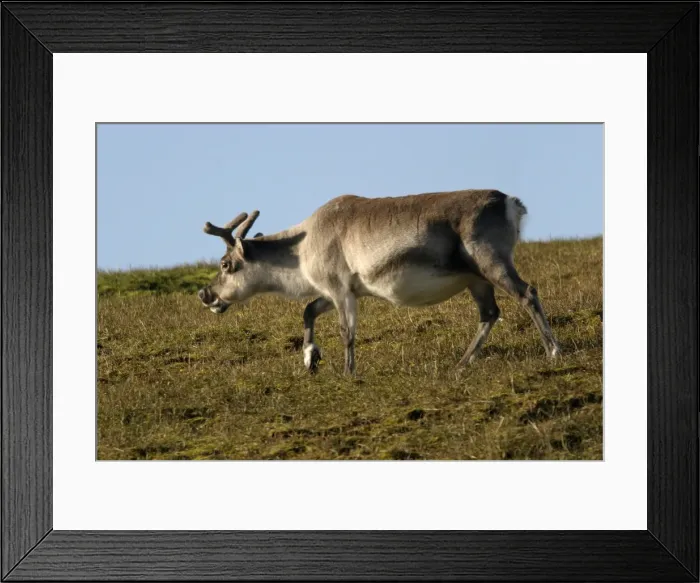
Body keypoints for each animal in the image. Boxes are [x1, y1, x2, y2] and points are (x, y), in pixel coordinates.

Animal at [197, 189, 561, 375]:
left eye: (225, 264)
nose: (205, 294)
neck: (299, 253)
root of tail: (511, 203)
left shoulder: (340, 288)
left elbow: (346, 332)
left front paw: (347, 373)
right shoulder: (340, 291)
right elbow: (308, 310)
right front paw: (310, 358)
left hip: (490, 260)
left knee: (527, 293)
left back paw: (553, 351)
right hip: (475, 278)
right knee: (489, 313)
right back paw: (461, 364)